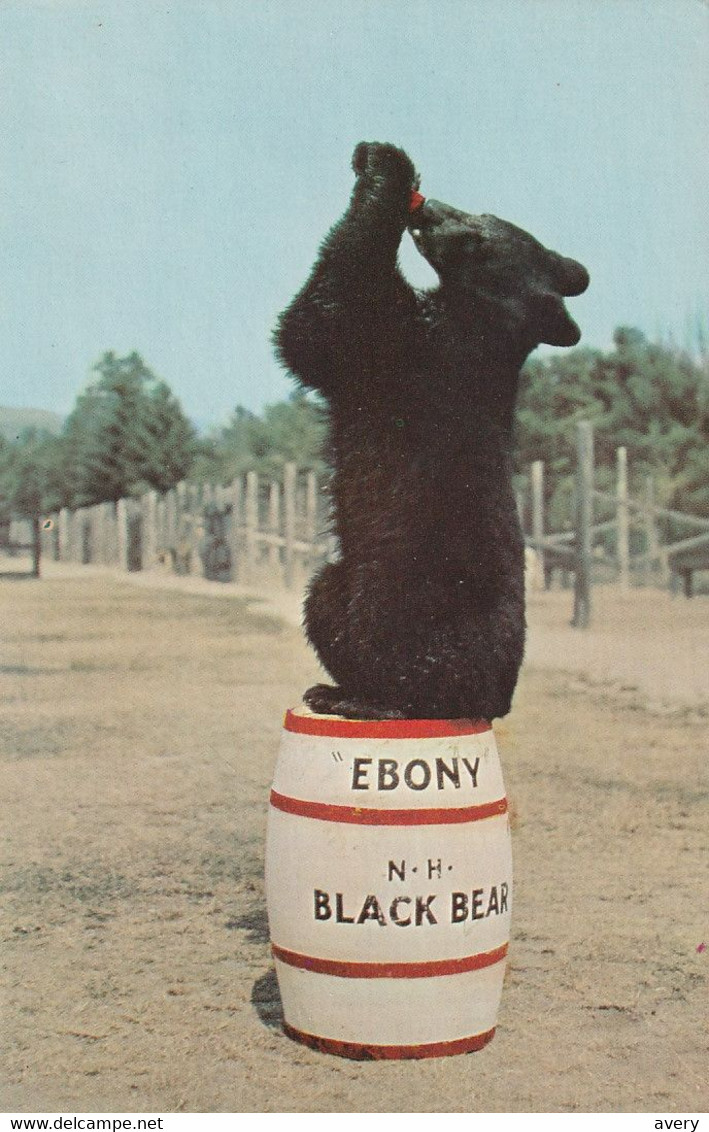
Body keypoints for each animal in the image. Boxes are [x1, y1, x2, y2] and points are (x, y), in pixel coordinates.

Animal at [272, 143, 588, 724]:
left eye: (476, 238)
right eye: (483, 212)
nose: (429, 209)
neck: (484, 323)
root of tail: (497, 698)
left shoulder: (413, 351)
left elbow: (330, 317)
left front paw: (385, 168)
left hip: (412, 589)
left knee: (403, 657)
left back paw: (373, 702)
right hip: (349, 579)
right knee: (325, 599)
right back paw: (335, 688)